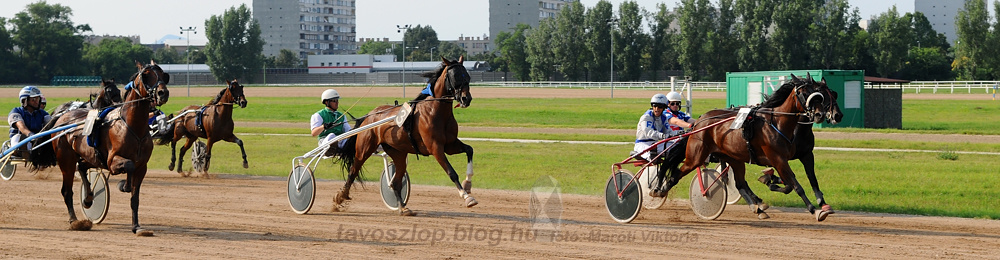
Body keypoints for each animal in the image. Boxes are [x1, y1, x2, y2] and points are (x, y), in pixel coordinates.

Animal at [28, 60, 170, 234]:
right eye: (146, 75)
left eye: (163, 74)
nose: (163, 93)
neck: (132, 127)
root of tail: (62, 117)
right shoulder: (112, 161)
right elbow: (128, 165)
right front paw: (124, 185)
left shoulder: (142, 167)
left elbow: (135, 198)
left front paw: (136, 227)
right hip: (66, 160)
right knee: (67, 190)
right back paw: (75, 221)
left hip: (90, 156)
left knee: (82, 167)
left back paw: (88, 198)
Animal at [330, 56, 478, 215]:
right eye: (455, 77)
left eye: (467, 76)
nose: (466, 99)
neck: (436, 111)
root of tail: (369, 115)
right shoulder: (435, 148)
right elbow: (451, 172)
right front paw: (467, 197)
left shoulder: (450, 145)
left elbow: (469, 150)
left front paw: (468, 184)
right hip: (364, 149)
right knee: (353, 171)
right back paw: (340, 197)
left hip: (398, 152)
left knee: (395, 182)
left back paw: (403, 207)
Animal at [660, 76, 824, 219]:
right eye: (804, 93)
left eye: (818, 93)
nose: (819, 114)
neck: (777, 123)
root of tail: (699, 122)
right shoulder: (778, 159)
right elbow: (795, 185)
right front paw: (815, 210)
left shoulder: (783, 159)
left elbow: (791, 183)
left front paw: (768, 180)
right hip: (696, 156)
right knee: (677, 172)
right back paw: (660, 190)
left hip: (734, 158)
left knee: (739, 183)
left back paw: (758, 208)